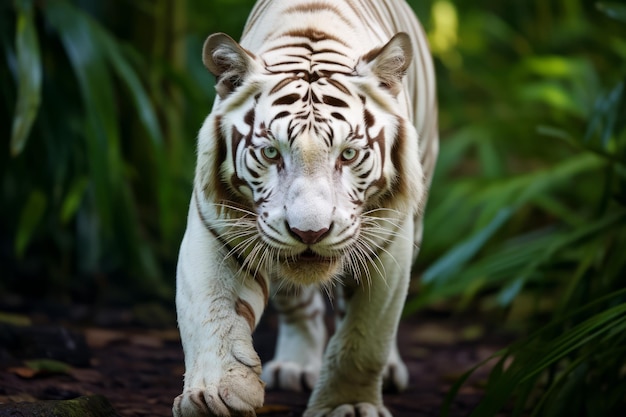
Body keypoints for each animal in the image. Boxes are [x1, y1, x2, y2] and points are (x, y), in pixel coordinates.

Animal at [173, 0, 436, 416]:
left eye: (348, 154)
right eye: (270, 152)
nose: (309, 233)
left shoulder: (390, 239)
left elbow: (365, 336)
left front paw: (349, 405)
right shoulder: (216, 229)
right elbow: (210, 312)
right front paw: (212, 396)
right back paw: (295, 366)